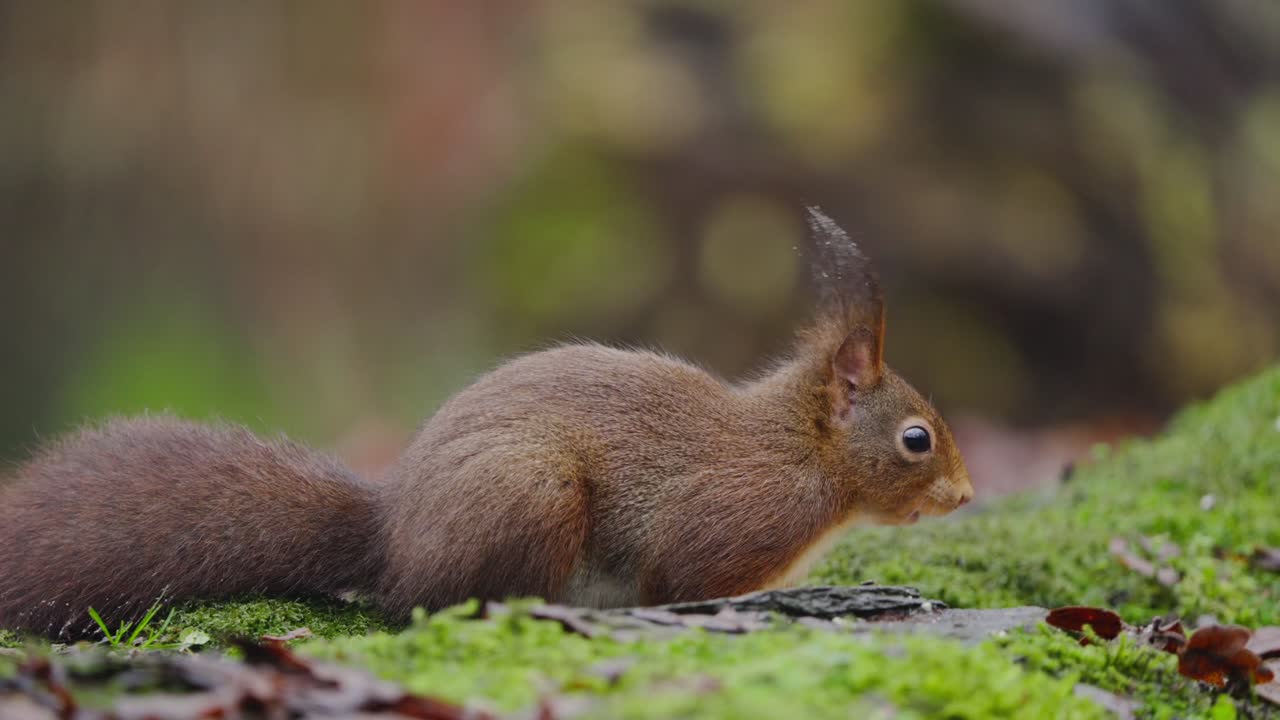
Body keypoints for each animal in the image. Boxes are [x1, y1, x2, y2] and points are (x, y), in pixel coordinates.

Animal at [0, 208, 973, 638]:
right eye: (915, 438)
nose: (966, 495)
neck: (805, 453)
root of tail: (392, 536)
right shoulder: (731, 518)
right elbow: (682, 582)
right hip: (529, 493)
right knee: (443, 604)